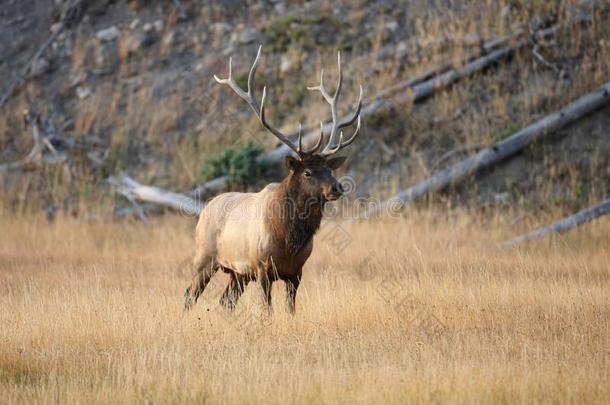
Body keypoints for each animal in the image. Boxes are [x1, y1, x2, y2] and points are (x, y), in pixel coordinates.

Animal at [182, 46, 360, 312]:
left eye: (330, 169)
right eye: (307, 172)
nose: (337, 188)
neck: (289, 241)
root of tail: (205, 208)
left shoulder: (296, 273)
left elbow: (290, 310)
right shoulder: (262, 267)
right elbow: (267, 310)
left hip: (238, 274)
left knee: (226, 302)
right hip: (204, 257)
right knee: (189, 295)